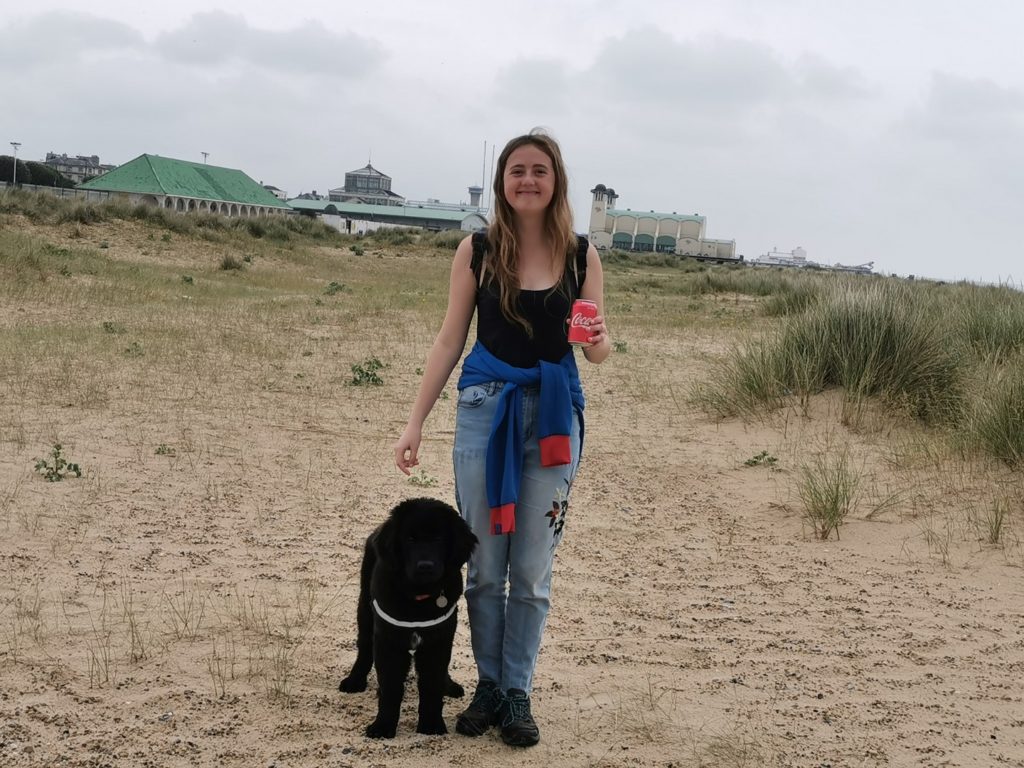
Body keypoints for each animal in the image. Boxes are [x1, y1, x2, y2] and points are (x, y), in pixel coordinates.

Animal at [339, 499, 475, 741]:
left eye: (439, 538)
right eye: (409, 539)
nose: (425, 566)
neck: (418, 599)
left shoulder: (437, 641)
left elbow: (432, 687)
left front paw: (431, 725)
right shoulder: (389, 642)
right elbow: (391, 688)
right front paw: (383, 727)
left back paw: (449, 685)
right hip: (365, 609)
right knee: (364, 648)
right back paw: (355, 680)